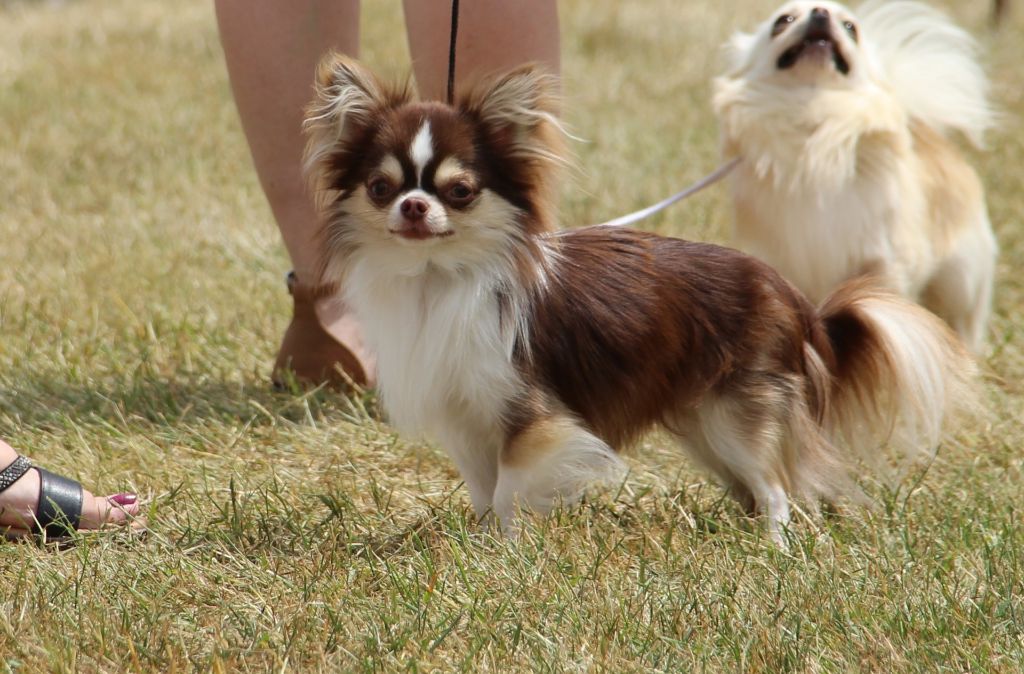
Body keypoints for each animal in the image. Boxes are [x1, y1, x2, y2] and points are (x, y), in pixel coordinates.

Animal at [305, 55, 974, 544]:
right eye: (380, 187)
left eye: (461, 191)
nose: (414, 206)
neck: (437, 277)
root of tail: (795, 299)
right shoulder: (469, 417)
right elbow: (482, 490)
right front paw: (481, 542)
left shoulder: (534, 415)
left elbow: (510, 487)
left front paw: (507, 550)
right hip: (705, 425)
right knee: (753, 486)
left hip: (738, 415)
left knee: (776, 485)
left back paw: (775, 547)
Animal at [716, 2, 995, 352]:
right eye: (783, 21)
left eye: (851, 28)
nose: (820, 11)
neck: (813, 117)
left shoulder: (882, 264)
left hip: (961, 279)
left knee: (961, 321)